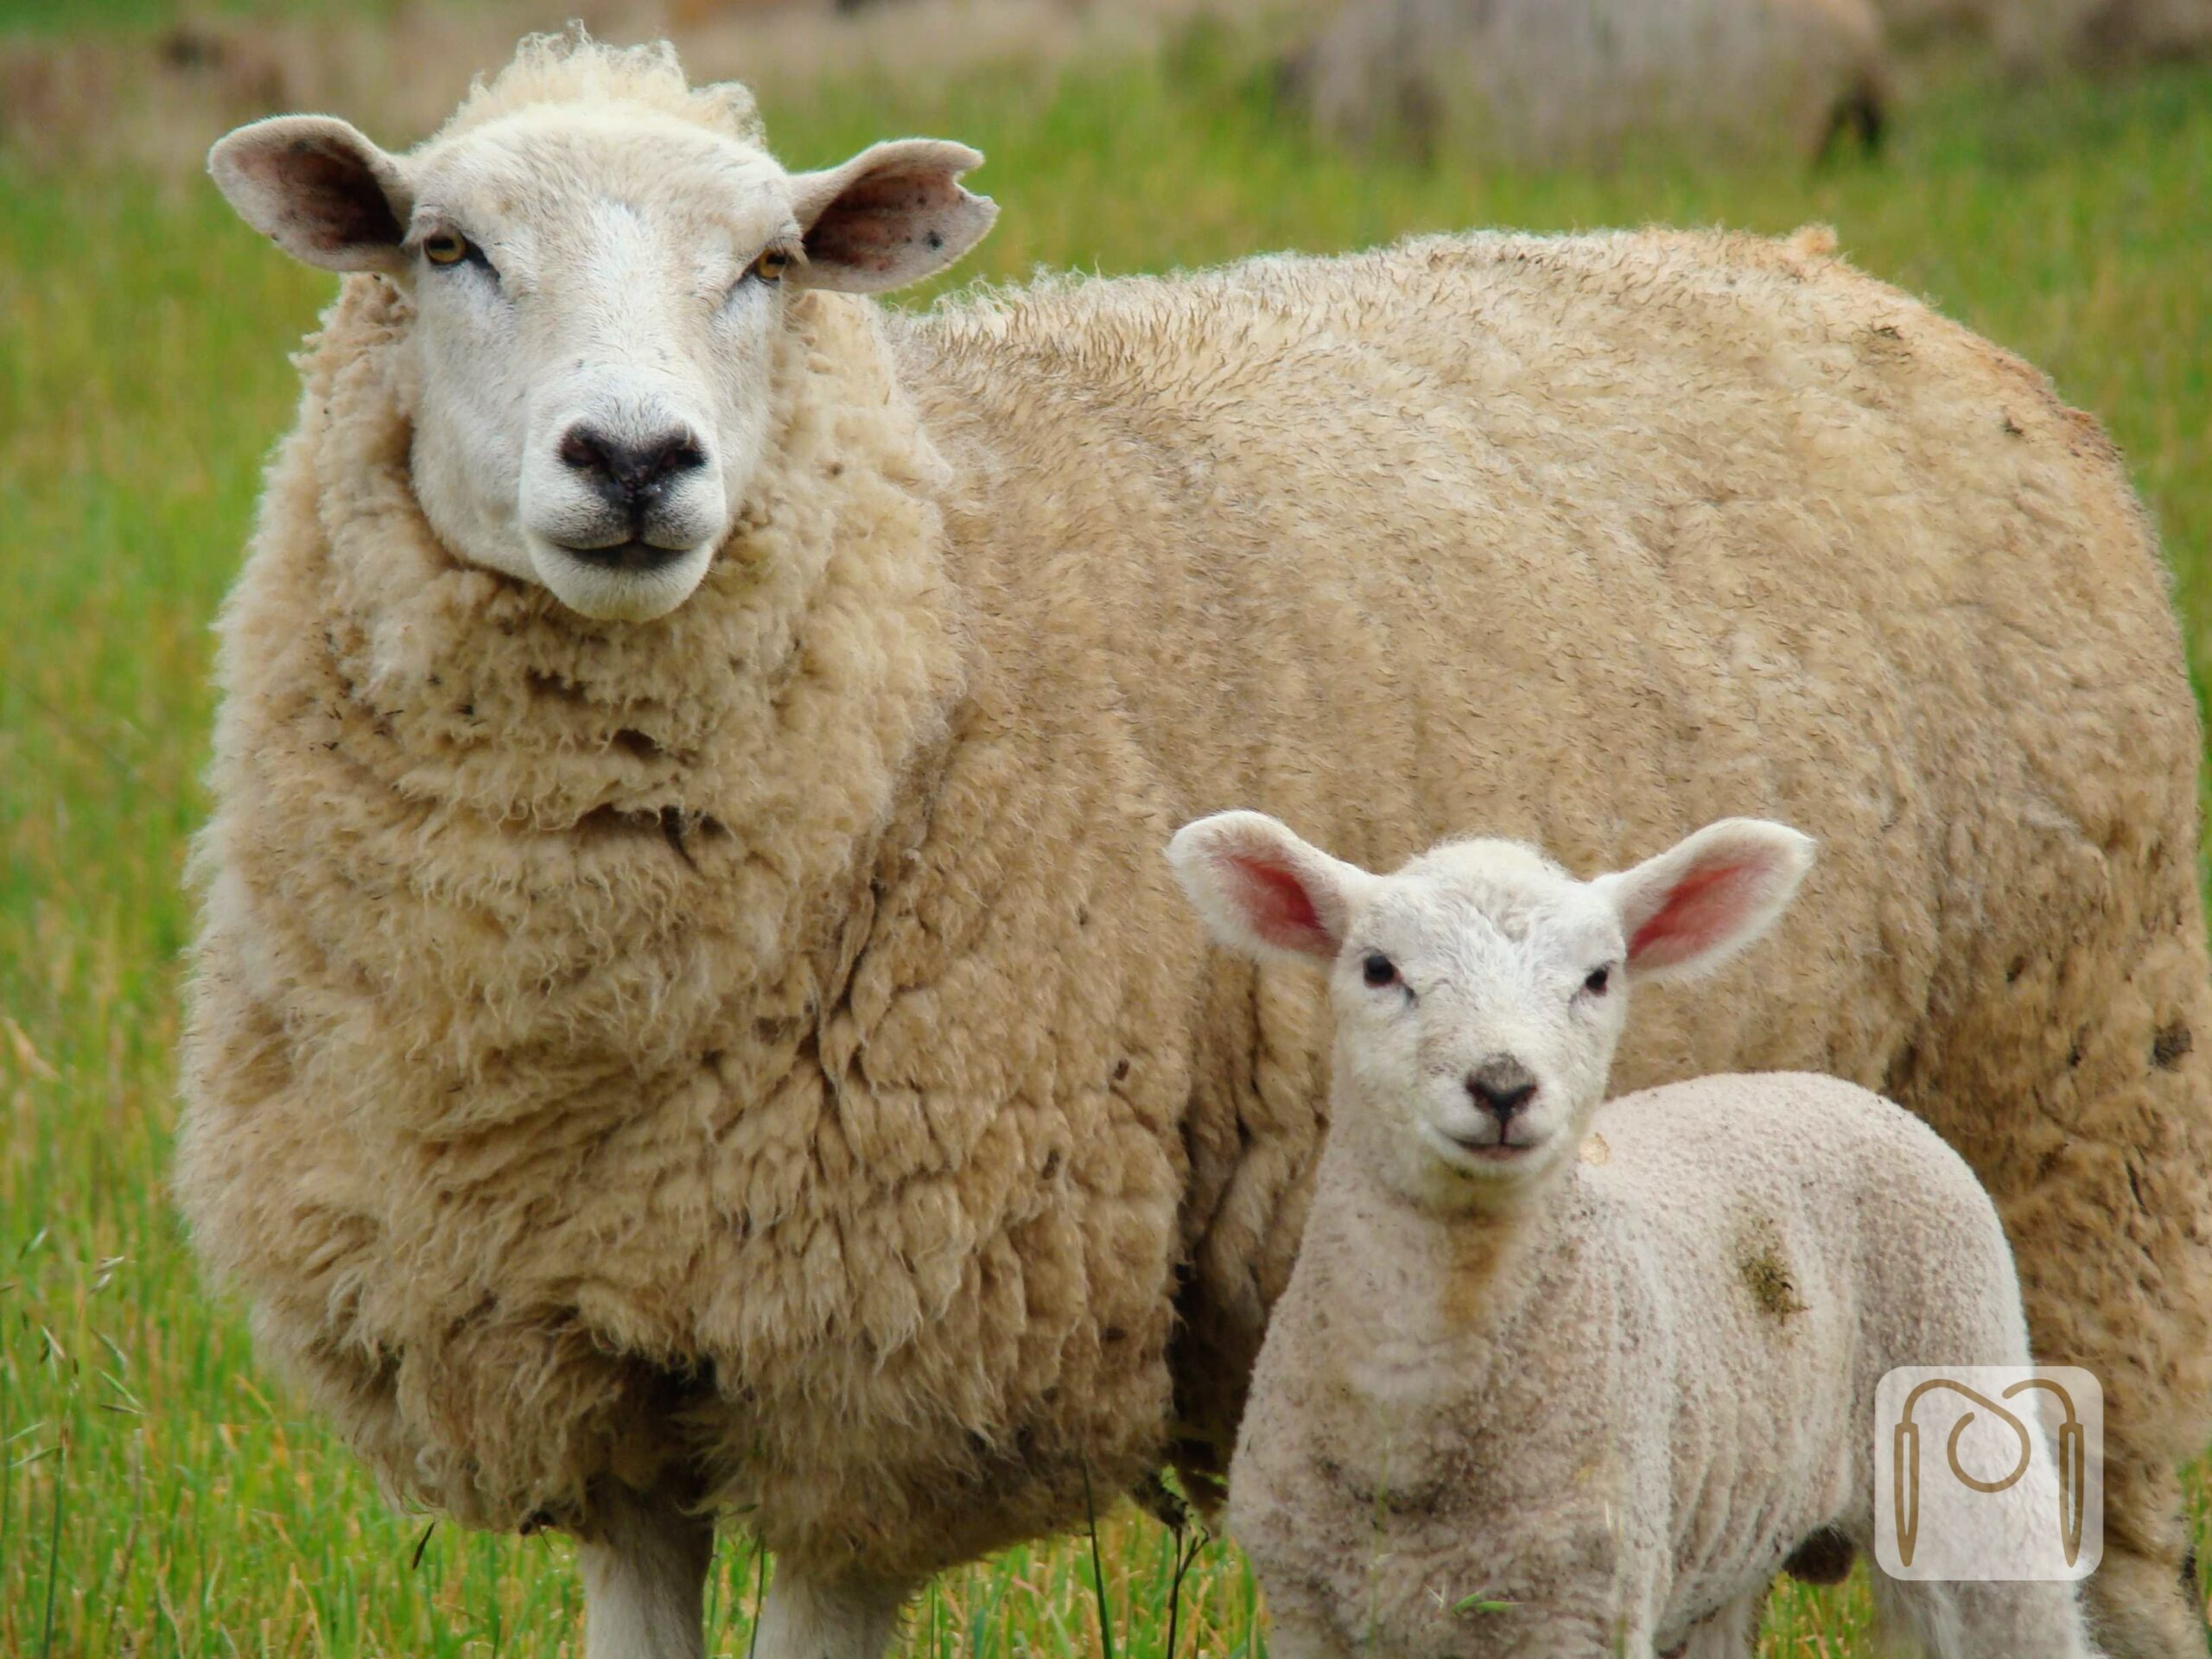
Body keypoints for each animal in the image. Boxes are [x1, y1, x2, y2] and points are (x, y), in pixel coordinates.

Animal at [1167, 814, 2096, 1659]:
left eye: (1598, 977)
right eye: (1378, 968)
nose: (1502, 1086)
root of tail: (1823, 1084)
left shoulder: (1581, 1607)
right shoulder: (1308, 1607)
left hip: (1967, 1436)